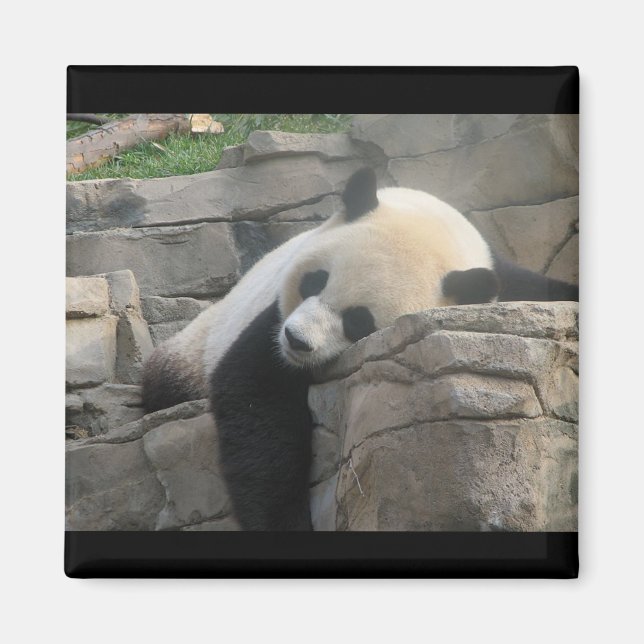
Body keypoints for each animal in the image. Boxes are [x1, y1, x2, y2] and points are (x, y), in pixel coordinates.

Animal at [142, 167, 578, 530]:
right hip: (198, 342)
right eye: (315, 280)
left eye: (358, 321)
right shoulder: (270, 319)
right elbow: (256, 396)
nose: (297, 341)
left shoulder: (495, 274)